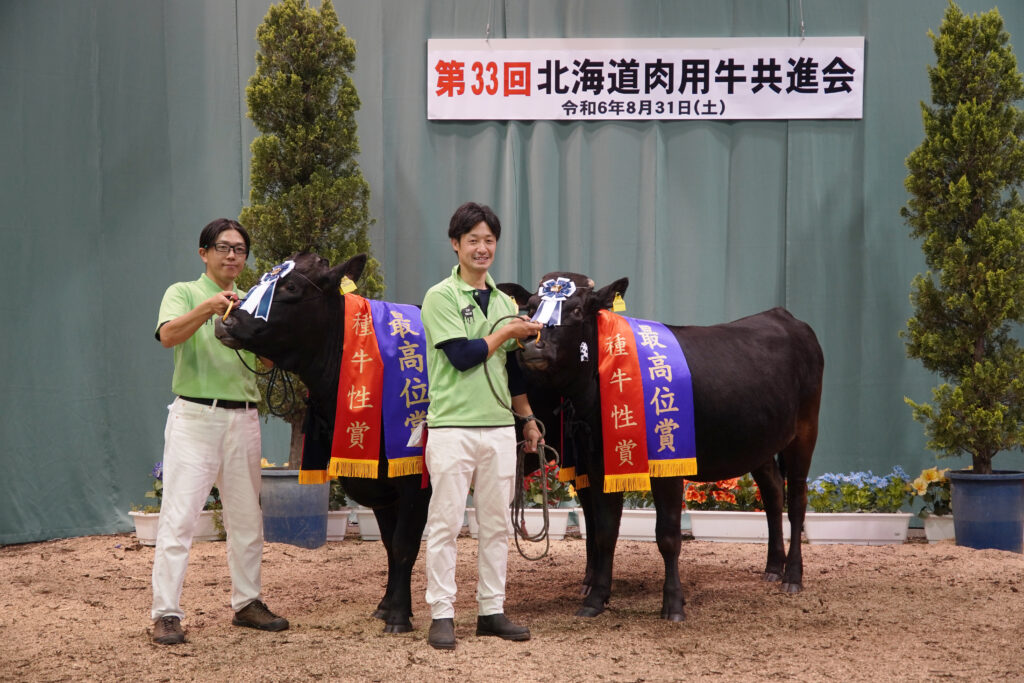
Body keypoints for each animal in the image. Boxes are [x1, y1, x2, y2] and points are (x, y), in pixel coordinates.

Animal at [214, 252, 430, 634]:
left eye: (290, 287)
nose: (227, 320)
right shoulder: (378, 483)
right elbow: (389, 545)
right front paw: (385, 605)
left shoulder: (413, 477)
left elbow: (404, 544)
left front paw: (399, 617)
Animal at [516, 274, 819, 626]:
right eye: (531, 308)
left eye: (577, 310)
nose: (533, 344)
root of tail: (781, 315)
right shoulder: (601, 464)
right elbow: (605, 532)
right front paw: (595, 599)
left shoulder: (669, 462)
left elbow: (668, 536)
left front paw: (674, 603)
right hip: (759, 441)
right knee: (772, 492)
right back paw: (773, 567)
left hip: (805, 431)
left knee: (796, 500)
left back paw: (793, 576)